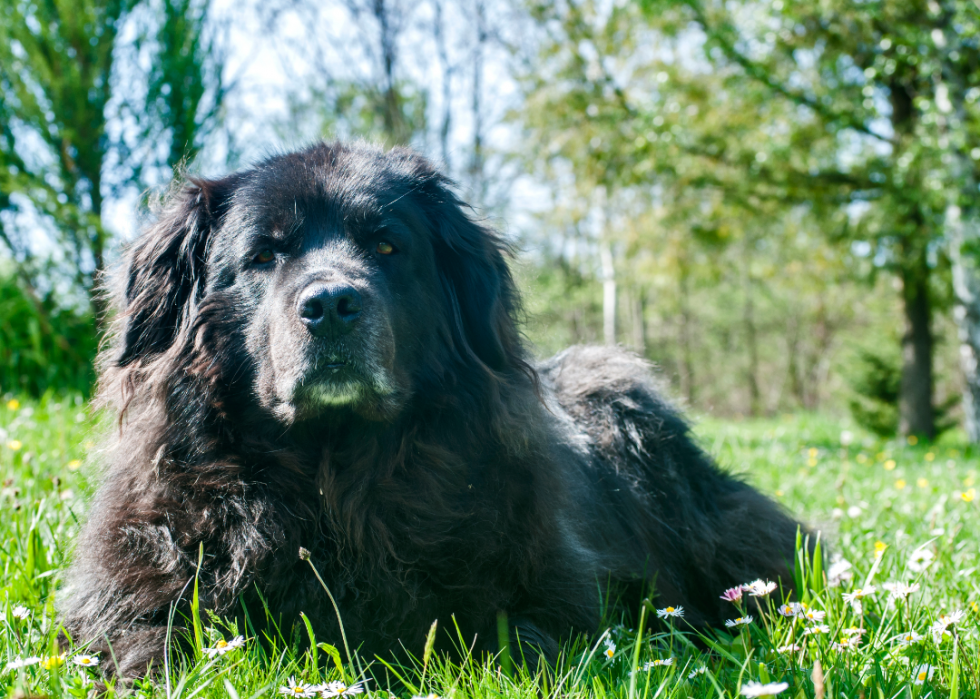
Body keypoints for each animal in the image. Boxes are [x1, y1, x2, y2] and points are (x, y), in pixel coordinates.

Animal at [61, 141, 804, 680]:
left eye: (388, 246)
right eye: (263, 255)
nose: (330, 304)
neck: (333, 476)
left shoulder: (544, 595)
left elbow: (518, 646)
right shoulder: (135, 589)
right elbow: (149, 646)